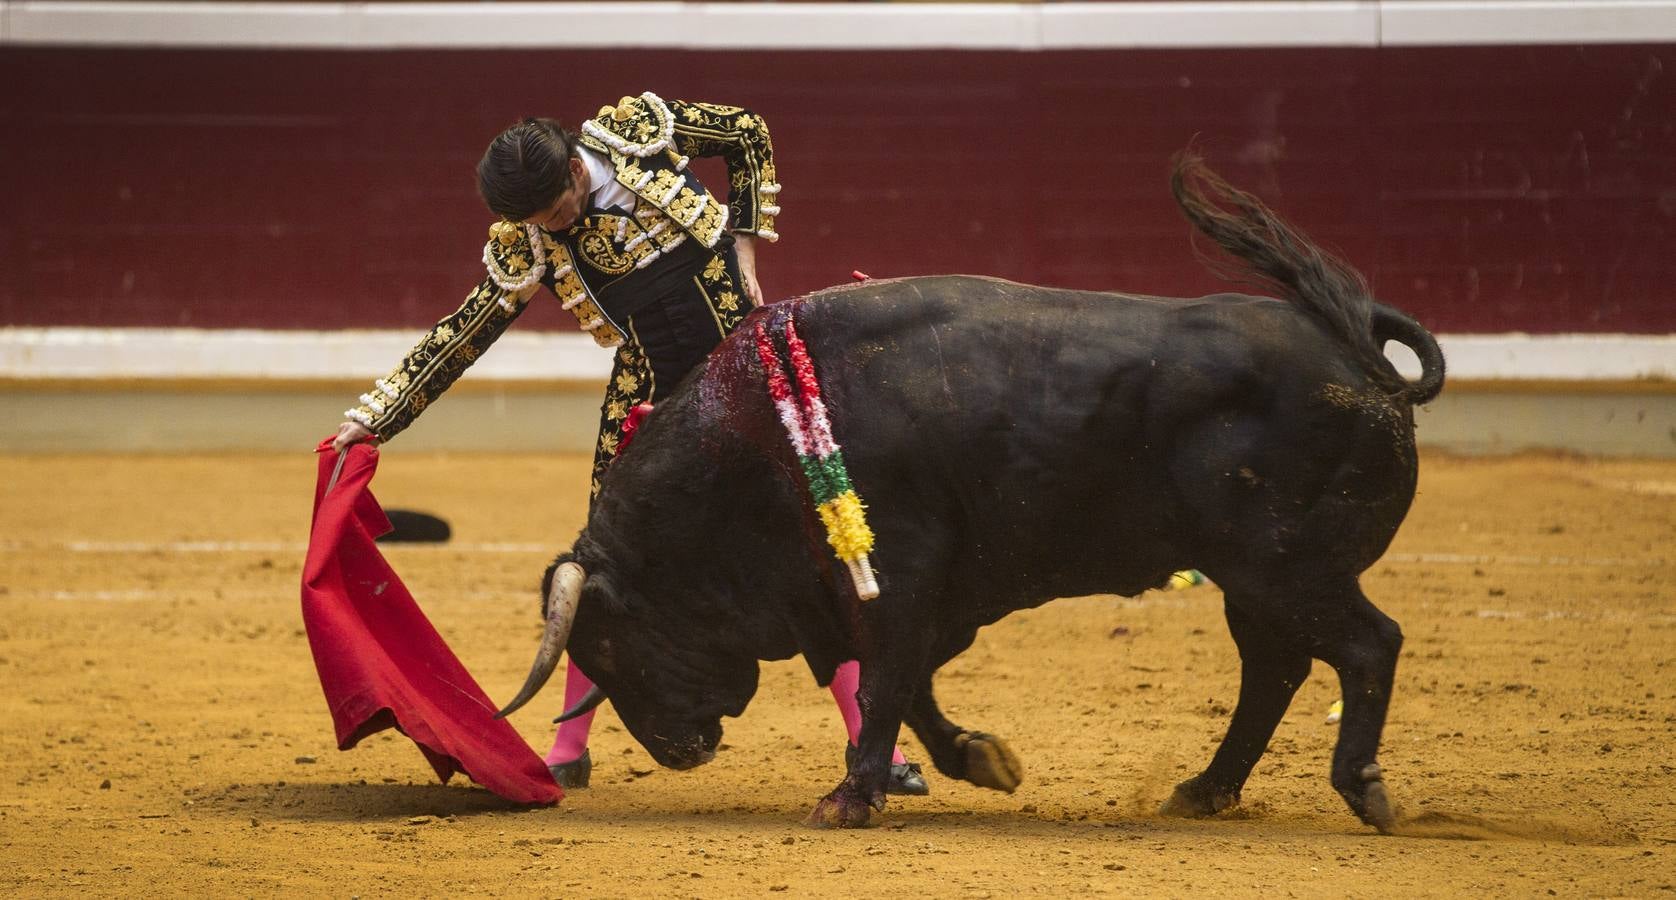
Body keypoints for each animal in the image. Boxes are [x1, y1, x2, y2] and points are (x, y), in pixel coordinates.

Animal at [492, 157, 1441, 831]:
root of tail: (1361, 357)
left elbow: (885, 683)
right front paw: (979, 760)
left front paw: (849, 800)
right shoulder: (891, 595)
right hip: (1255, 580)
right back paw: (1205, 789)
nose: (676, 750)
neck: (755, 443)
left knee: (1368, 645)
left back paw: (1359, 786)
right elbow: (906, 688)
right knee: (1274, 668)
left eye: (609, 645)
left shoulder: (898, 577)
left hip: (1288, 566)